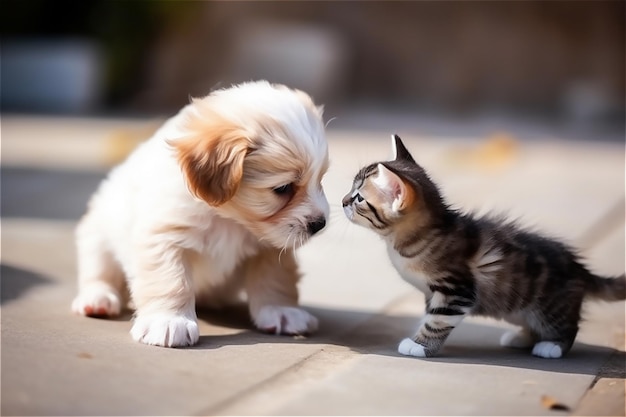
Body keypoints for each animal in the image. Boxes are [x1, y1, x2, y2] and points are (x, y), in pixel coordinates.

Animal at [71, 79, 330, 346]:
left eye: (321, 179)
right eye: (283, 188)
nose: (320, 223)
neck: (229, 219)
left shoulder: (271, 245)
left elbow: (276, 278)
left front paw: (282, 311)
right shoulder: (163, 237)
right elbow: (171, 280)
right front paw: (168, 320)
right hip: (97, 236)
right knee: (100, 273)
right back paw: (97, 299)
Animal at [342, 134, 624, 358]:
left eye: (359, 198)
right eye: (351, 193)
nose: (343, 200)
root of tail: (580, 269)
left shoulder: (456, 290)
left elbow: (437, 320)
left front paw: (420, 345)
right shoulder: (432, 294)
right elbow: (428, 315)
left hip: (549, 307)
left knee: (567, 326)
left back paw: (552, 346)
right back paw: (522, 337)